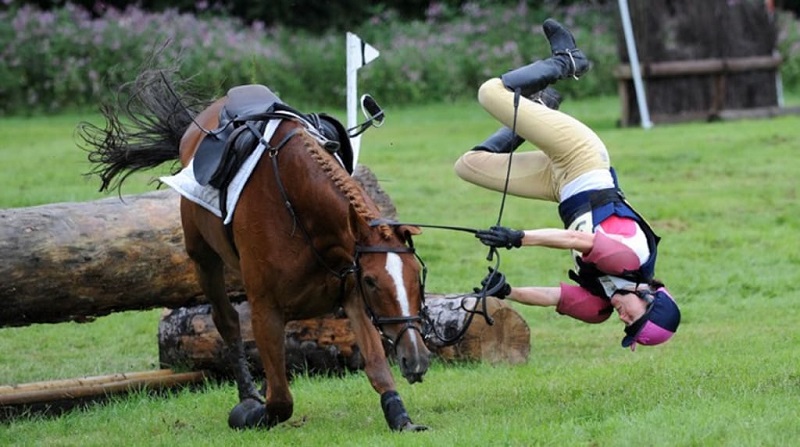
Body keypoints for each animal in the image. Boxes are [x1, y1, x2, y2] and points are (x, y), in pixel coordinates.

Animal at [79, 71, 432, 434]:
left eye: (415, 276)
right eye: (374, 281)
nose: (417, 359)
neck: (301, 208)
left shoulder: (352, 295)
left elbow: (377, 367)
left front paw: (400, 416)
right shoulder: (266, 307)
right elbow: (281, 401)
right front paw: (251, 411)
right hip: (203, 257)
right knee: (227, 321)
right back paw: (249, 394)